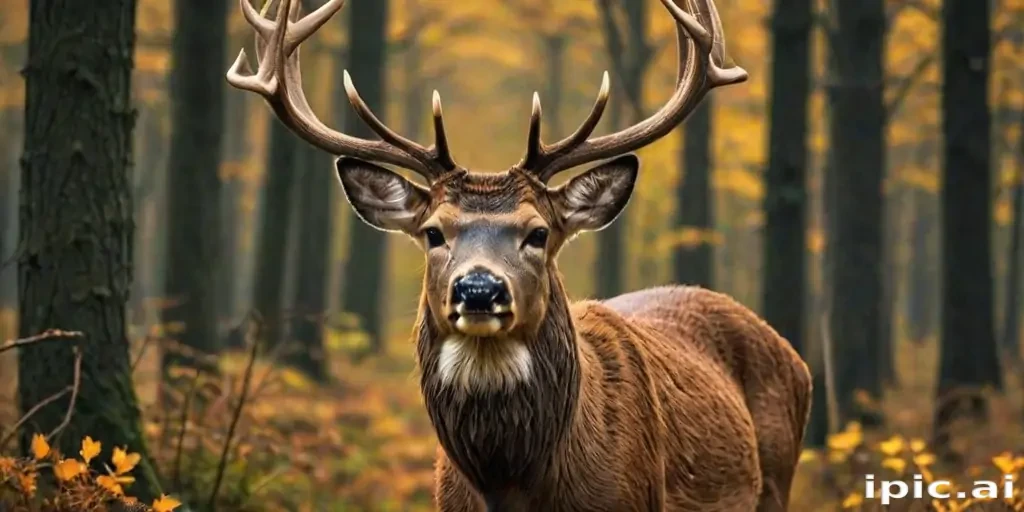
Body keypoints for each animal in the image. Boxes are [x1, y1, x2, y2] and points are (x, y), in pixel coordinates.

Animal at [228, 0, 812, 509]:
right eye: (434, 233)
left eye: (538, 233)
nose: (478, 289)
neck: (511, 487)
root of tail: (796, 358)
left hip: (777, 481)